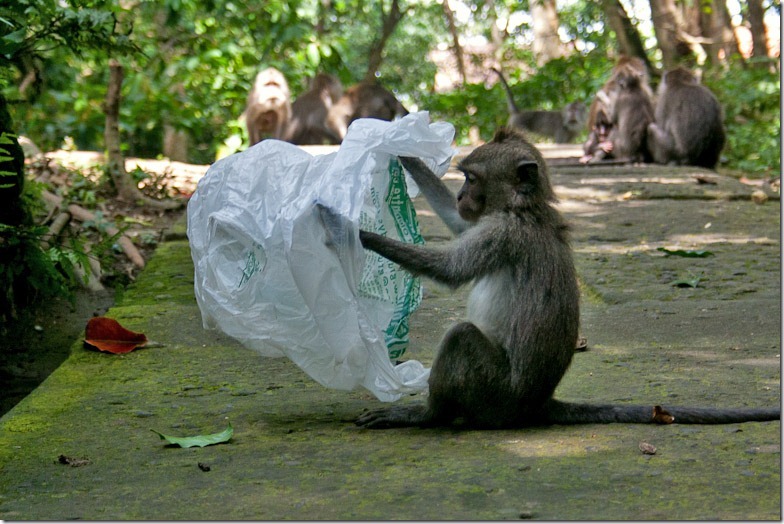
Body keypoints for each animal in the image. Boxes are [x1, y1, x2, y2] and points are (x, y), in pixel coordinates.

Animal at [316, 128, 776, 430]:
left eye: (472, 178)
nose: (463, 195)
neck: (522, 208)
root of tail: (536, 404)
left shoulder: (503, 234)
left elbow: (450, 270)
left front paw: (345, 228)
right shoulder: (490, 223)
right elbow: (457, 224)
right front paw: (400, 147)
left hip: (495, 394)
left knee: (462, 337)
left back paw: (427, 415)